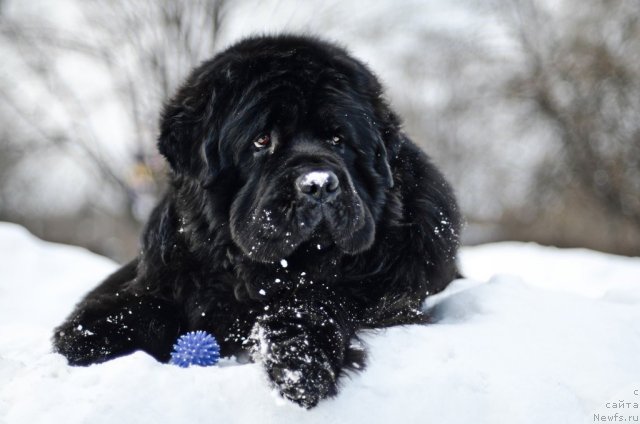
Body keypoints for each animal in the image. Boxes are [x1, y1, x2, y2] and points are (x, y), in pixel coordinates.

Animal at [52, 34, 458, 410]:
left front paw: (297, 361)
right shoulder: (163, 280)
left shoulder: (387, 296)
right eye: (262, 140)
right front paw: (89, 341)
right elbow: (136, 309)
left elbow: (318, 297)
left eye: (338, 139)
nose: (319, 184)